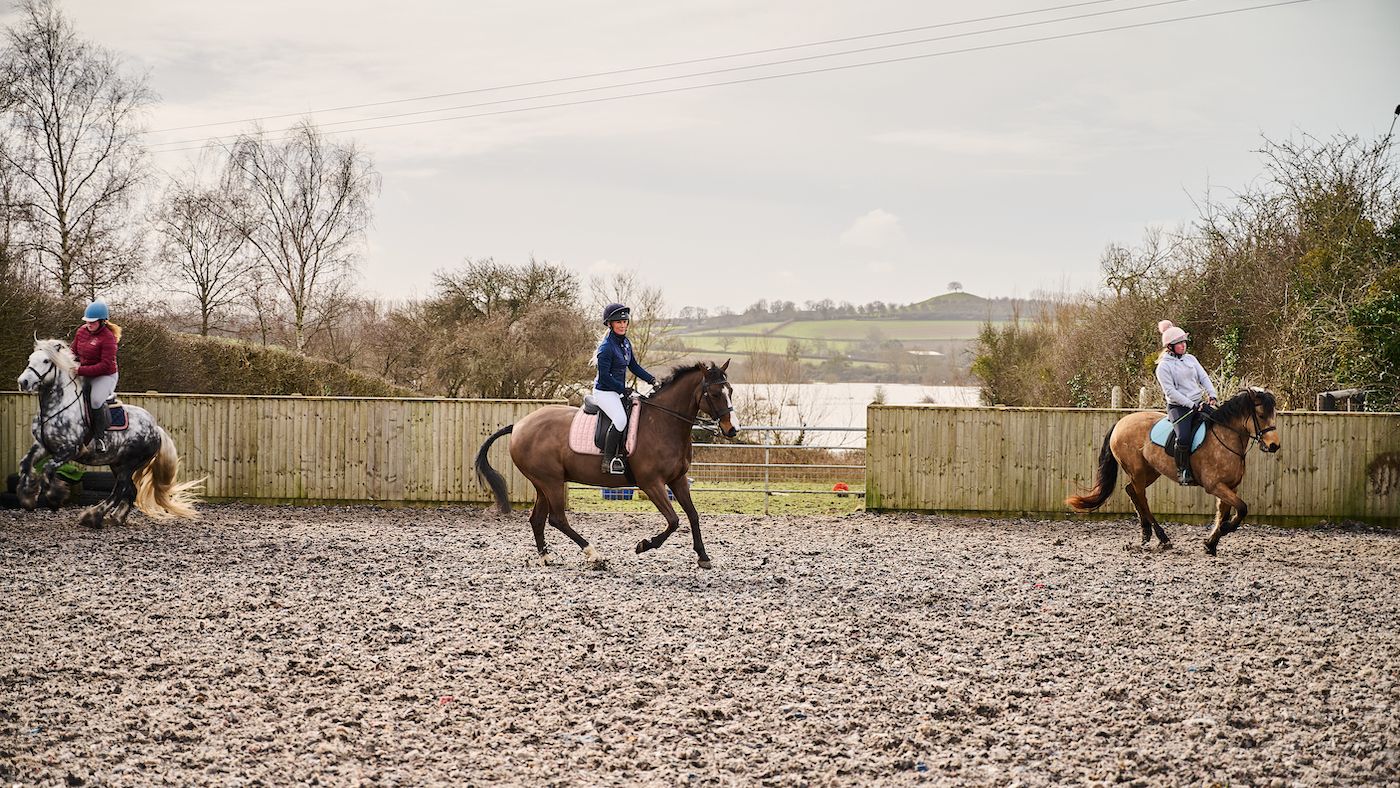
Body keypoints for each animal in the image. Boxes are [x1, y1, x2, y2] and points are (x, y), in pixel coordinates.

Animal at [16, 339, 203, 528]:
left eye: (46, 361)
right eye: (30, 358)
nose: (23, 382)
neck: (57, 406)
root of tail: (156, 428)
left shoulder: (70, 449)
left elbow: (47, 469)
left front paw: (55, 498)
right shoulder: (43, 446)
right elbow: (25, 464)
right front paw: (28, 497)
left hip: (129, 463)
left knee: (119, 491)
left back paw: (93, 515)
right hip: (117, 464)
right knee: (130, 491)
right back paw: (116, 518)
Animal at [474, 360, 740, 569]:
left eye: (731, 390)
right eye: (714, 394)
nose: (733, 429)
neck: (664, 422)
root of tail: (519, 425)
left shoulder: (677, 479)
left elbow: (693, 515)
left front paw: (703, 556)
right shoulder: (651, 483)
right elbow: (674, 520)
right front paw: (644, 545)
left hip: (544, 483)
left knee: (537, 519)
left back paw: (546, 558)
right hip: (551, 482)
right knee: (558, 519)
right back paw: (594, 555)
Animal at [1066, 388, 1281, 556]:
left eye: (1274, 415)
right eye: (1261, 416)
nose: (1274, 446)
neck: (1225, 437)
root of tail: (1120, 422)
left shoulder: (1231, 487)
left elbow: (1224, 513)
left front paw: (1211, 543)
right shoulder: (1215, 486)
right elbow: (1241, 508)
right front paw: (1224, 531)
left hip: (1151, 471)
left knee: (1130, 491)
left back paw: (1146, 533)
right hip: (1137, 471)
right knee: (1141, 497)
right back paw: (1162, 538)